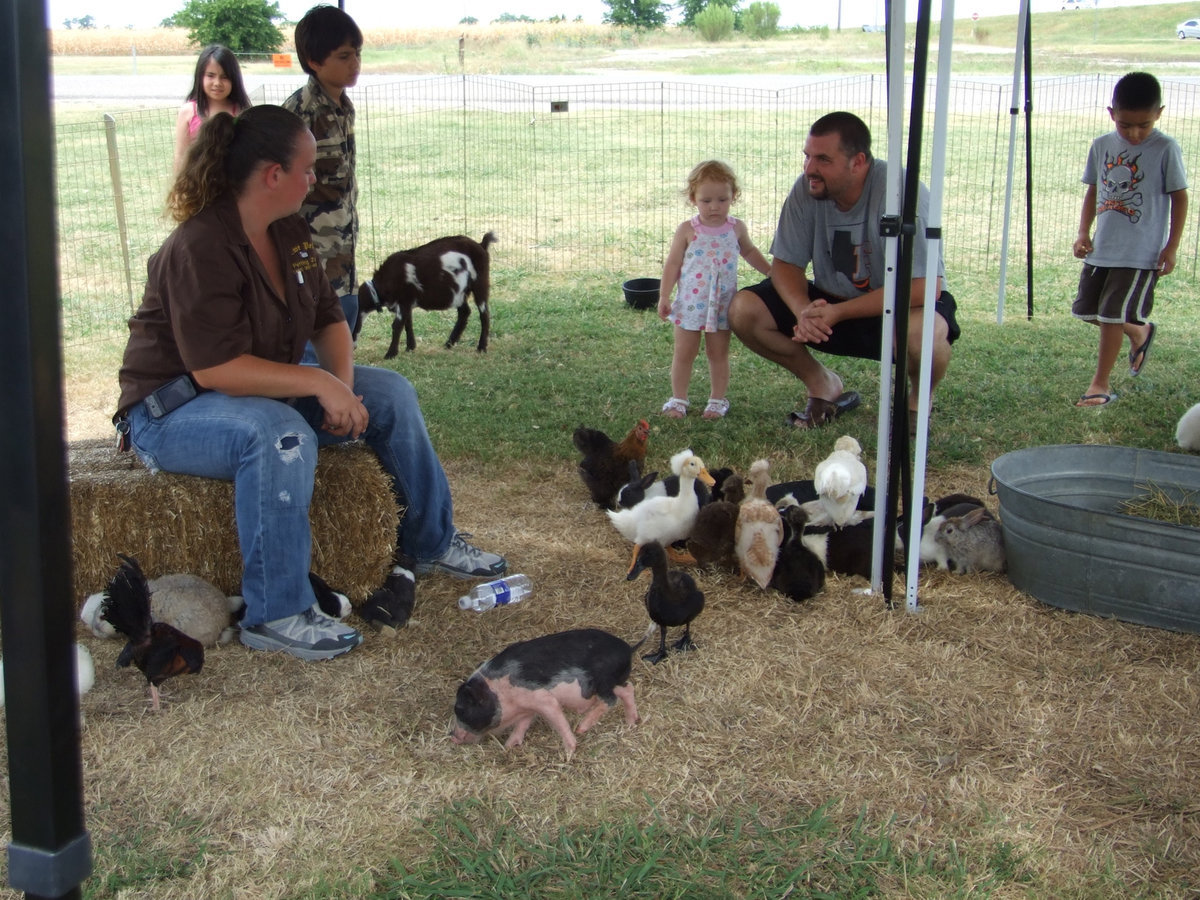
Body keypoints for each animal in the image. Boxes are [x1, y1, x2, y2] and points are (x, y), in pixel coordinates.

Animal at [352, 230, 494, 357]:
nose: (352, 346)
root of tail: (481, 245)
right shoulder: (406, 303)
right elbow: (407, 323)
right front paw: (410, 347)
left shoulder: (404, 300)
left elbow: (397, 326)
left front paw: (390, 354)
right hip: (458, 292)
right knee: (464, 312)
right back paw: (449, 343)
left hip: (480, 283)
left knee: (484, 314)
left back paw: (481, 347)